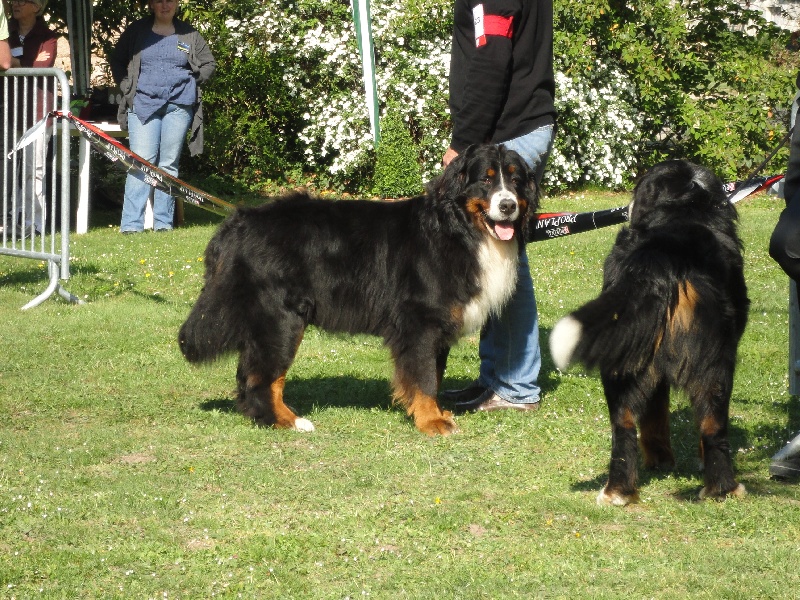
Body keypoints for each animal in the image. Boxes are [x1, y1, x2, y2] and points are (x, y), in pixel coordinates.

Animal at [552, 161, 752, 506]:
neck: (684, 206)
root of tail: (659, 256)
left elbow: (654, 416)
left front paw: (660, 461)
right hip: (716, 361)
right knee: (713, 425)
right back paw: (723, 488)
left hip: (624, 356)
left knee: (623, 426)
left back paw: (618, 491)